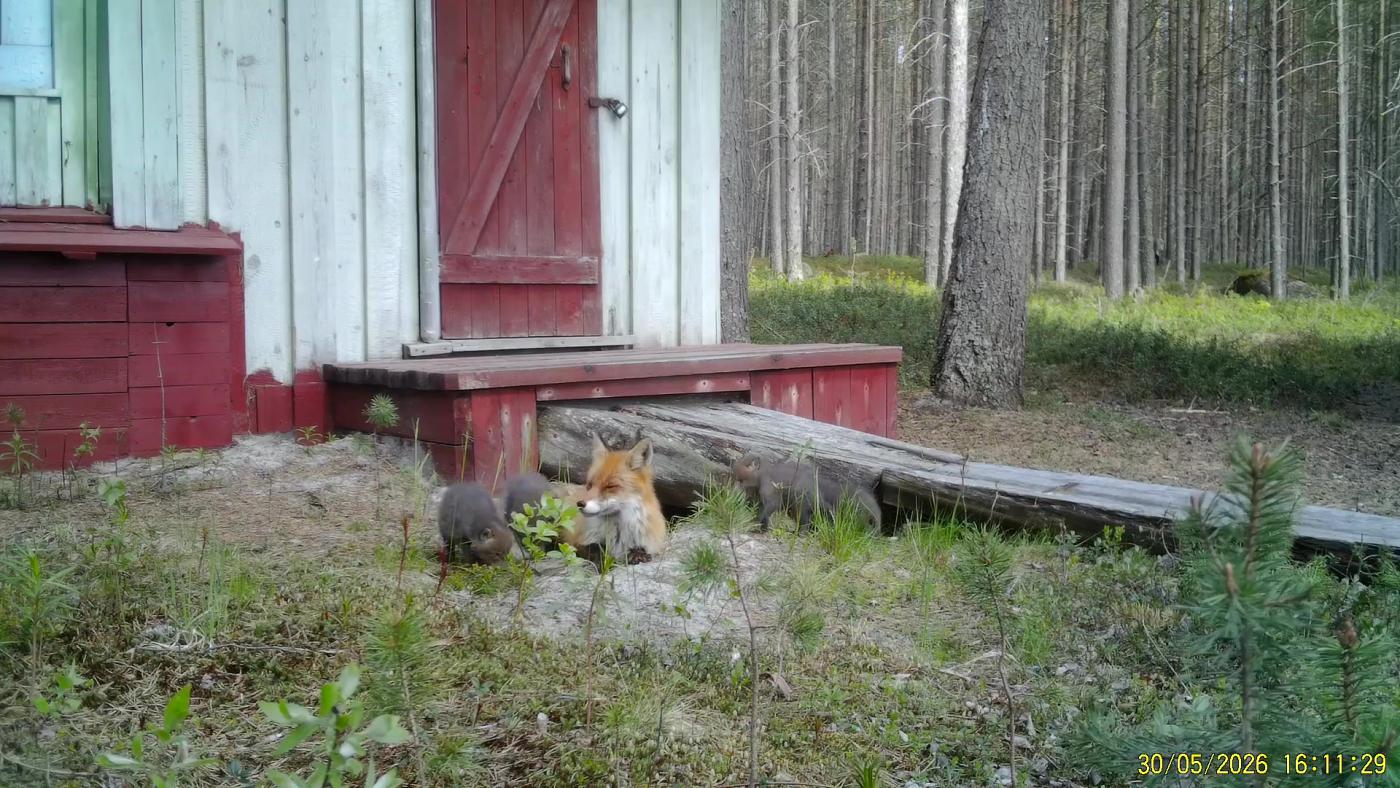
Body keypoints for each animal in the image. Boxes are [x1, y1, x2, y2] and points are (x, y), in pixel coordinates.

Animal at [567, 433, 667, 564]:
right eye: (590, 485)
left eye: (610, 486)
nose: (580, 504)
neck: (618, 533)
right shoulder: (576, 541)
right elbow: (593, 548)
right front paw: (602, 558)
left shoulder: (653, 544)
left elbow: (641, 549)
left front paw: (637, 554)